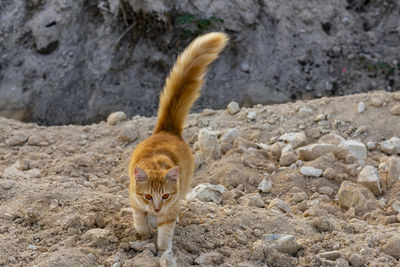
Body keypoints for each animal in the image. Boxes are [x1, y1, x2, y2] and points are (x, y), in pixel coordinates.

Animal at [128, 32, 228, 252]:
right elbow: (139, 220)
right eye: (148, 196)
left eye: (165, 196)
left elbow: (165, 233)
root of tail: (167, 130)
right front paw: (144, 236)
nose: (157, 208)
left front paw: (162, 252)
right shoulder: (135, 200)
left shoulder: (170, 208)